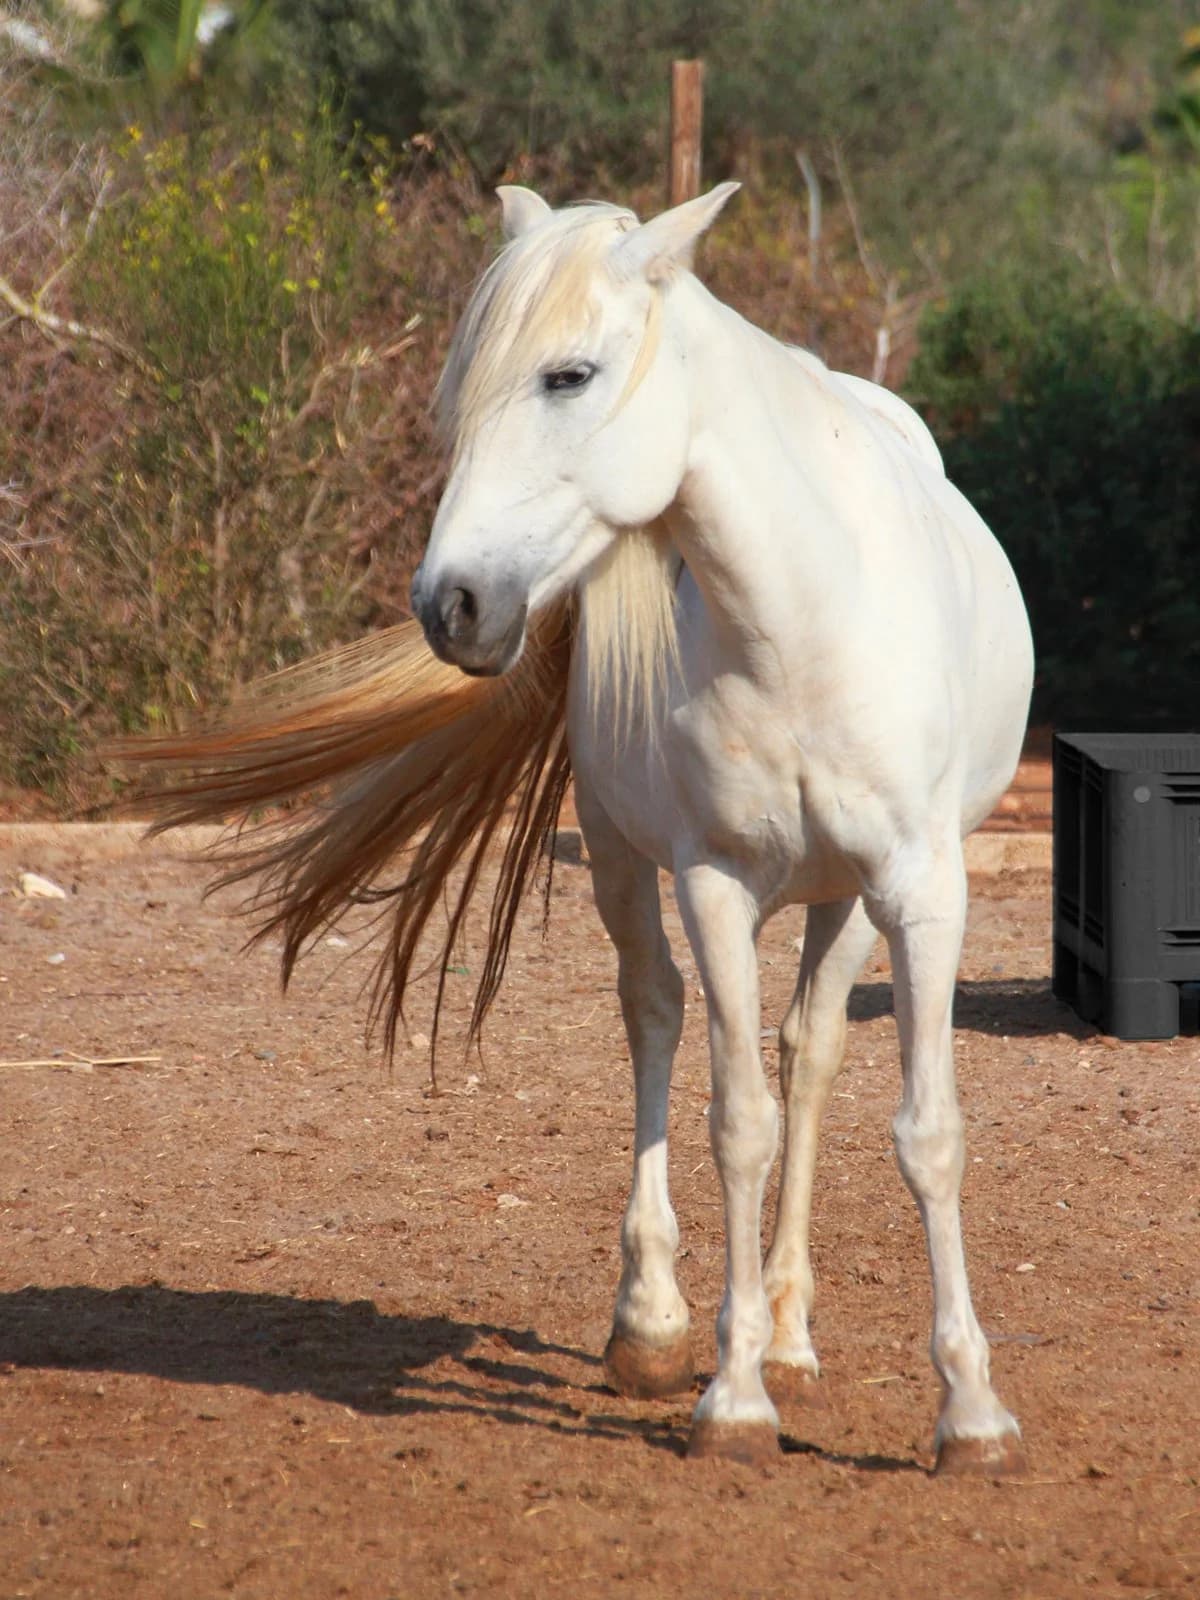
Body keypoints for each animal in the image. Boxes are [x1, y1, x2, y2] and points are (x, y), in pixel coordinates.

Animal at [130, 181, 1034, 1473]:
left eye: (568, 374)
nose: (450, 604)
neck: (803, 618)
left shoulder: (921, 888)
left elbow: (926, 1131)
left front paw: (970, 1411)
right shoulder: (714, 882)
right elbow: (736, 1122)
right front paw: (731, 1398)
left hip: (848, 903)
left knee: (811, 1051)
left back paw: (795, 1337)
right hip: (621, 854)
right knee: (656, 1017)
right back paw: (654, 1326)